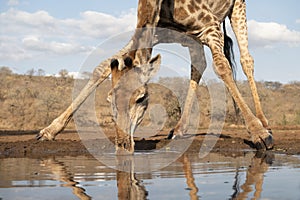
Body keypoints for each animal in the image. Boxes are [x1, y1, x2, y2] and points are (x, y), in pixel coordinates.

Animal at [36, 0, 274, 153]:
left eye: (141, 98)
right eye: (109, 99)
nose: (123, 144)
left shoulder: (209, 25)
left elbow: (222, 67)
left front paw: (260, 135)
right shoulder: (155, 31)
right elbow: (101, 67)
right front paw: (49, 131)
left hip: (236, 8)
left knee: (246, 60)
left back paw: (263, 122)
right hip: (191, 38)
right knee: (199, 64)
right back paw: (179, 129)